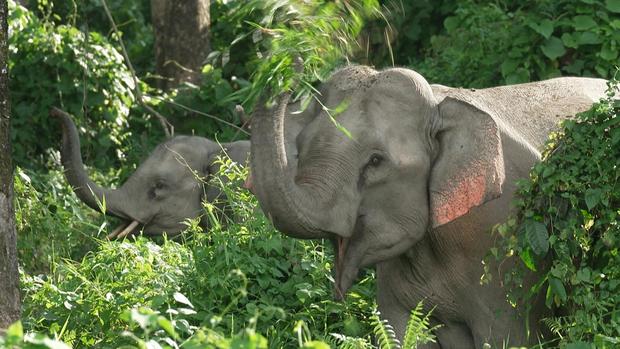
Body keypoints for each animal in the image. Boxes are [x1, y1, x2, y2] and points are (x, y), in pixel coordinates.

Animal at [246, 64, 604, 346]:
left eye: (375, 161)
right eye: (300, 145)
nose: (286, 64)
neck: (438, 105)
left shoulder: (506, 249)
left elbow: (510, 335)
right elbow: (400, 331)